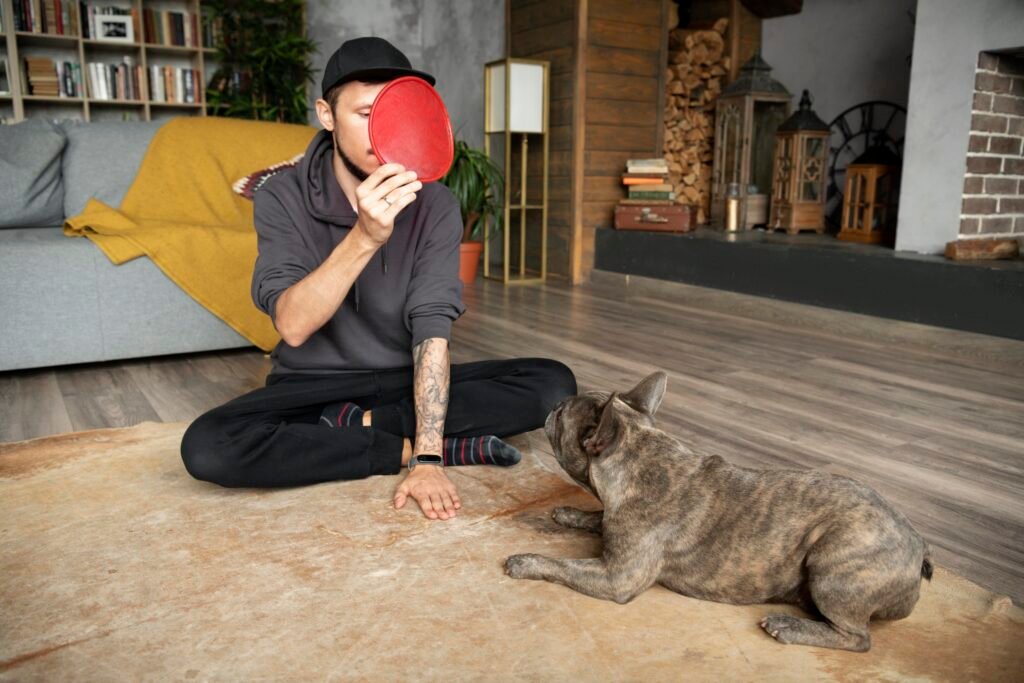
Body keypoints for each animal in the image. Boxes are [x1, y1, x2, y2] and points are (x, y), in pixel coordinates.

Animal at [505, 374, 937, 651]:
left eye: (562, 415)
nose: (553, 407)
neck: (641, 456)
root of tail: (919, 547)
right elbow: (598, 517)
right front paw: (570, 514)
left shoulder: (616, 578)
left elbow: (561, 565)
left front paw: (524, 561)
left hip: (835, 565)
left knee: (858, 639)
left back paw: (790, 627)